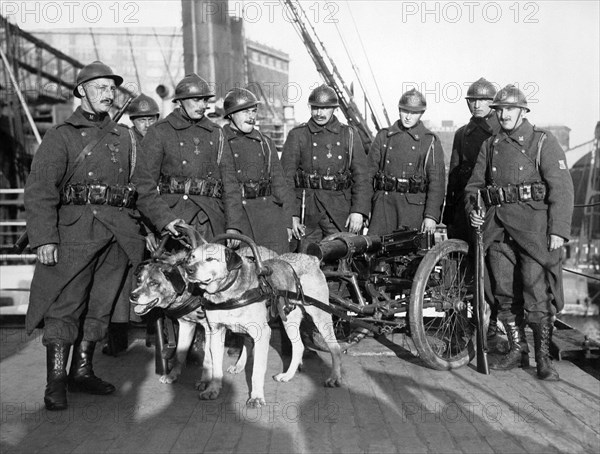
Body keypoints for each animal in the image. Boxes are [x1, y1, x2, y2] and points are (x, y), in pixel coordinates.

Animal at [183, 243, 342, 410]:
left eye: (210, 259)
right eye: (191, 258)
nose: (188, 269)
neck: (227, 291)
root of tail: (311, 258)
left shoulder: (262, 333)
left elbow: (257, 371)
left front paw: (256, 398)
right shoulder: (216, 331)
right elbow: (216, 367)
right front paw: (213, 389)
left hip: (320, 315)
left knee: (335, 348)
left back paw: (334, 377)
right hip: (289, 319)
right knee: (298, 346)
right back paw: (287, 375)